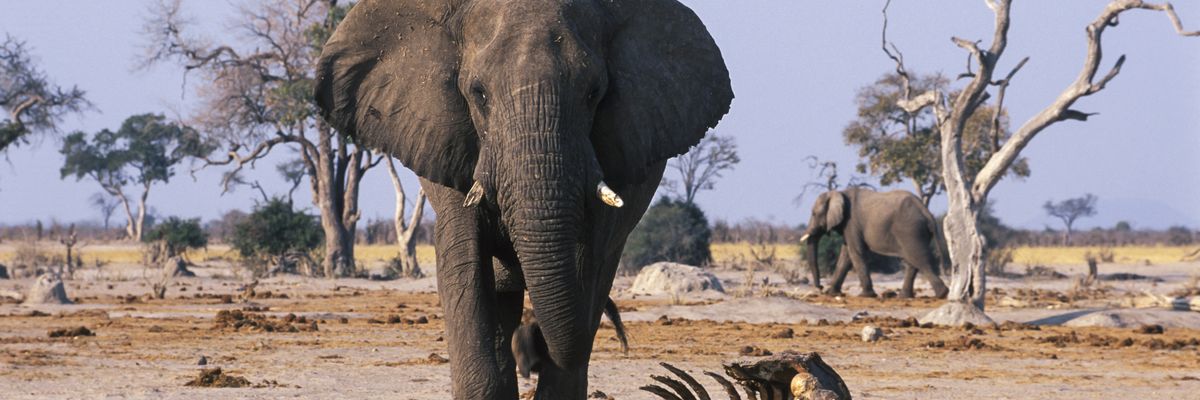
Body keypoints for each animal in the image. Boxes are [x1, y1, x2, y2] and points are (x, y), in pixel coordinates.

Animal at [799, 188, 950, 299]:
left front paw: (865, 295)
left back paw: (942, 294)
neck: (839, 192)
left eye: (814, 214)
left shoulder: (851, 223)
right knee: (913, 261)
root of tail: (926, 212)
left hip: (910, 230)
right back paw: (904, 296)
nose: (820, 287)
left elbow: (855, 253)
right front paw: (832, 293)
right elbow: (846, 256)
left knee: (918, 259)